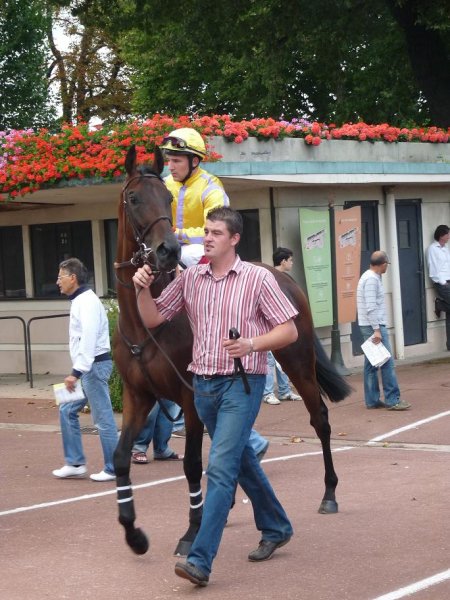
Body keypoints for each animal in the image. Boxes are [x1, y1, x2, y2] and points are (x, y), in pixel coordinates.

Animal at [111, 144, 352, 556]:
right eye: (134, 198)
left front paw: (192, 530)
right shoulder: (137, 395)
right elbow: (121, 457)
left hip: (297, 361)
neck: (146, 323)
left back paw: (330, 493)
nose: (167, 250)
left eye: (167, 198)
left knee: (319, 418)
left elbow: (193, 464)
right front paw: (133, 533)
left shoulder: (190, 396)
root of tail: (282, 276)